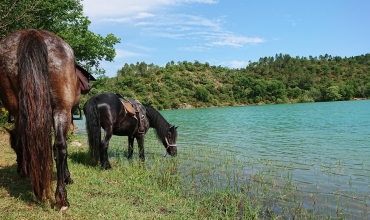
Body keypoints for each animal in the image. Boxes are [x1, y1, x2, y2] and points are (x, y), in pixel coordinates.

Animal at [0, 28, 92, 210]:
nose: (20, 171)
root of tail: (31, 33)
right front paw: (67, 177)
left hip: (20, 109)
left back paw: (39, 191)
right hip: (61, 109)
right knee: (60, 147)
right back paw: (61, 198)